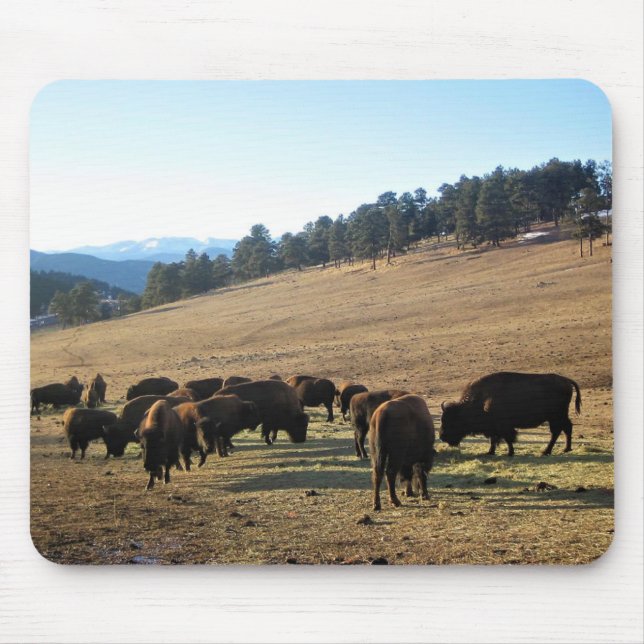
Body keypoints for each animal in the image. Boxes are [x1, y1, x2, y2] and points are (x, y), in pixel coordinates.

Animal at [439, 371, 582, 456]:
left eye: (452, 420)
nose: (442, 436)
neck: (481, 399)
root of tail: (566, 380)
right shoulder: (494, 427)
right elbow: (494, 439)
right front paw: (490, 452)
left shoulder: (504, 426)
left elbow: (507, 438)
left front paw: (510, 452)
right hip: (557, 417)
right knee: (565, 428)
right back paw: (565, 449)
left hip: (556, 416)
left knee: (559, 431)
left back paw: (547, 451)